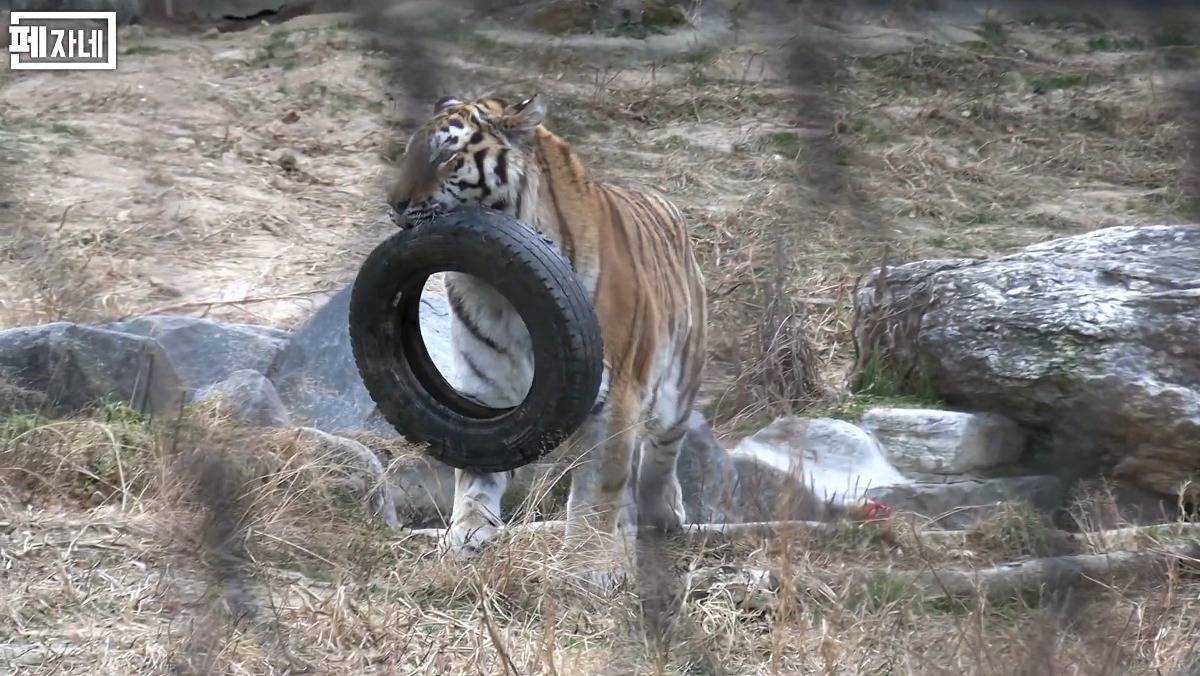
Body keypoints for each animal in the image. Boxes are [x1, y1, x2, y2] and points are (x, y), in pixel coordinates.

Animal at [384, 93, 705, 561]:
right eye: (409, 153)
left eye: (445, 155)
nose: (394, 203)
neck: (496, 294)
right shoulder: (482, 394)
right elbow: (476, 472)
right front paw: (468, 533)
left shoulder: (615, 397)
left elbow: (599, 485)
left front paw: (590, 561)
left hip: (676, 388)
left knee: (663, 451)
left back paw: (663, 515)